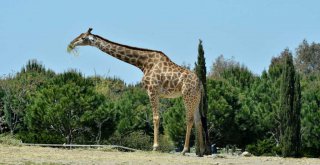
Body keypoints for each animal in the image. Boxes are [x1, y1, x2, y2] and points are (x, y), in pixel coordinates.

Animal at [68, 28, 205, 156]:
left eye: (83, 37)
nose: (71, 44)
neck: (143, 63)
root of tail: (200, 84)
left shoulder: (152, 91)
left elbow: (156, 118)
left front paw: (155, 147)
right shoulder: (155, 93)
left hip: (187, 95)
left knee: (189, 119)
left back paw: (185, 150)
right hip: (195, 98)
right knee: (198, 120)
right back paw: (200, 151)